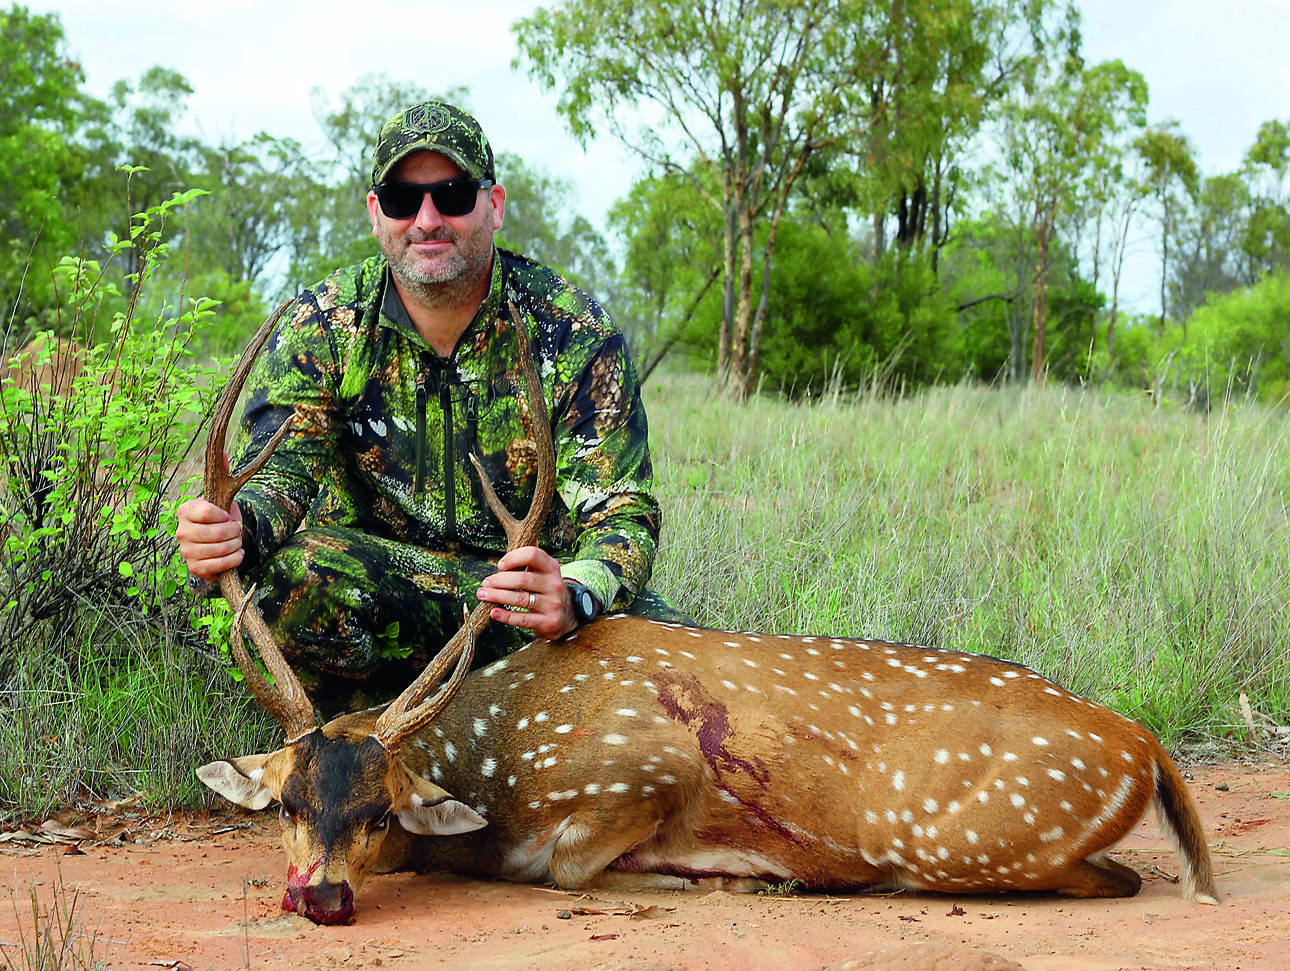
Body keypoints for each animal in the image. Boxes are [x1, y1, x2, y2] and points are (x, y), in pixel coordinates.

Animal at [196, 310, 1212, 923]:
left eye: (380, 810)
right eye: (286, 800)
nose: (320, 896)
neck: (504, 762)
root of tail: (1143, 744)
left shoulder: (645, 766)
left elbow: (571, 866)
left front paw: (726, 867)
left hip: (956, 832)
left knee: (1117, 875)